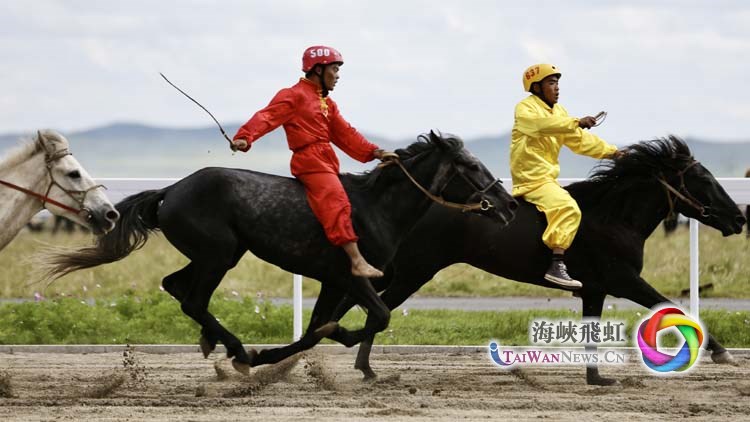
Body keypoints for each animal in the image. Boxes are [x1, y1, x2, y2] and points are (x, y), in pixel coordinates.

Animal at [42, 131, 524, 372]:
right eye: (472, 166)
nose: (509, 204)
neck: (375, 207)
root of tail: (171, 190)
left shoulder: (334, 281)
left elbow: (316, 329)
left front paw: (284, 350)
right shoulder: (351, 276)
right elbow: (375, 317)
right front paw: (272, 353)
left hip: (217, 254)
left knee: (175, 285)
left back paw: (214, 342)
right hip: (219, 254)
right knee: (192, 298)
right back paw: (236, 350)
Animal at [328, 136, 748, 386]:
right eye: (705, 180)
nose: (738, 219)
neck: (614, 216)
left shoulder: (595, 289)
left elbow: (593, 333)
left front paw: (596, 378)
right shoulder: (623, 279)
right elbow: (670, 305)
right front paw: (722, 353)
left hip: (398, 270)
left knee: (357, 297)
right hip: (414, 271)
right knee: (372, 306)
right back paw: (361, 365)